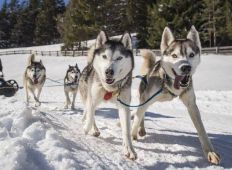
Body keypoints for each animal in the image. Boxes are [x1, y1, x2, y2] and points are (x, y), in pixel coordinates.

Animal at [79, 30, 137, 159]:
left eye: (119, 58)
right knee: (89, 112)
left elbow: (126, 130)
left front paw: (129, 149)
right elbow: (90, 117)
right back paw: (92, 128)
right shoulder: (92, 100)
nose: (109, 71)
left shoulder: (124, 106)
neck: (110, 89)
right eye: (104, 56)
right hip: (88, 96)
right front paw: (86, 129)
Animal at [131, 25, 220, 164]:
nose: (186, 67)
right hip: (145, 99)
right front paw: (133, 135)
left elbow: (201, 130)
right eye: (174, 55)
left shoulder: (191, 105)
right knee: (140, 114)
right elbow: (136, 119)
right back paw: (140, 129)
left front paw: (211, 152)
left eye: (191, 54)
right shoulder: (146, 99)